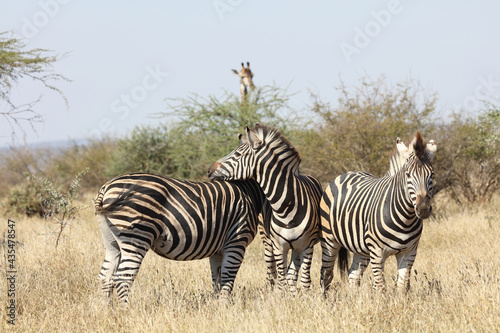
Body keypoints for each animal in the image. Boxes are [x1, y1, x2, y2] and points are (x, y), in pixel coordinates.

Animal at [93, 172, 266, 304]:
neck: (250, 192)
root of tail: (107, 188)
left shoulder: (218, 250)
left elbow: (216, 279)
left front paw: (217, 306)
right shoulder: (237, 241)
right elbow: (227, 279)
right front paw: (225, 309)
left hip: (111, 241)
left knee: (105, 277)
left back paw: (108, 311)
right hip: (137, 237)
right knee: (123, 278)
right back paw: (126, 312)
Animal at [208, 124, 322, 290]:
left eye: (237, 154)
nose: (209, 170)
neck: (287, 208)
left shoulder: (307, 246)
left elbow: (304, 281)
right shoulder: (279, 247)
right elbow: (282, 281)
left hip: (297, 247)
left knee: (292, 274)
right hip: (268, 242)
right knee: (272, 273)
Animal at [320, 131, 434, 292]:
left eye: (432, 174)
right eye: (408, 175)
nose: (423, 209)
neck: (406, 219)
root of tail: (348, 172)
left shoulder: (409, 253)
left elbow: (402, 287)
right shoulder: (377, 253)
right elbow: (380, 287)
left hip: (361, 248)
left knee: (353, 275)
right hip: (329, 240)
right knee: (326, 274)